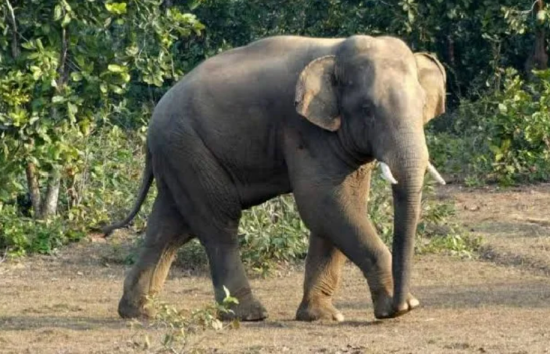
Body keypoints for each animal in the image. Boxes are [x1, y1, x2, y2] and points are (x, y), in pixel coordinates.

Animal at [104, 34, 448, 322]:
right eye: (367, 109)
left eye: (422, 105)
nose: (402, 304)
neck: (336, 53)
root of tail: (153, 122)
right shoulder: (304, 129)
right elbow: (324, 204)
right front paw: (400, 308)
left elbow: (337, 209)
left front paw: (321, 317)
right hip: (188, 148)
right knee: (218, 222)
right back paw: (248, 314)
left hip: (179, 154)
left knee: (171, 225)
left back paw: (139, 311)